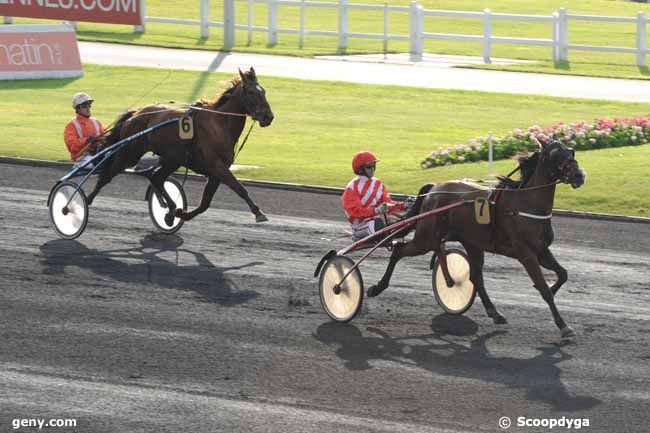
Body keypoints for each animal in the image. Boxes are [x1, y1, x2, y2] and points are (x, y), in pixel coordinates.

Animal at [86, 67, 274, 226]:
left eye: (263, 91)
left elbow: (205, 203)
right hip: (130, 153)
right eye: (251, 92)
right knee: (107, 175)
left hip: (172, 160)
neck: (219, 125)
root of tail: (136, 113)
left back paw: (170, 210)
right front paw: (258, 213)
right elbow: (240, 188)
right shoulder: (217, 167)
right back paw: (84, 202)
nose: (268, 116)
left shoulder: (215, 173)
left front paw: (181, 214)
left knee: (157, 178)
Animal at [368, 140, 584, 340]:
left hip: (472, 242)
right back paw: (376, 288)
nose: (579, 175)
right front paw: (564, 325)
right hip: (426, 239)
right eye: (554, 155)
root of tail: (434, 188)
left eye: (571, 151)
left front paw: (554, 290)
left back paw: (494, 312)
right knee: (398, 250)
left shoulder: (541, 250)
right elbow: (544, 289)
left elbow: (563, 274)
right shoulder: (525, 253)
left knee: (475, 277)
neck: (525, 204)